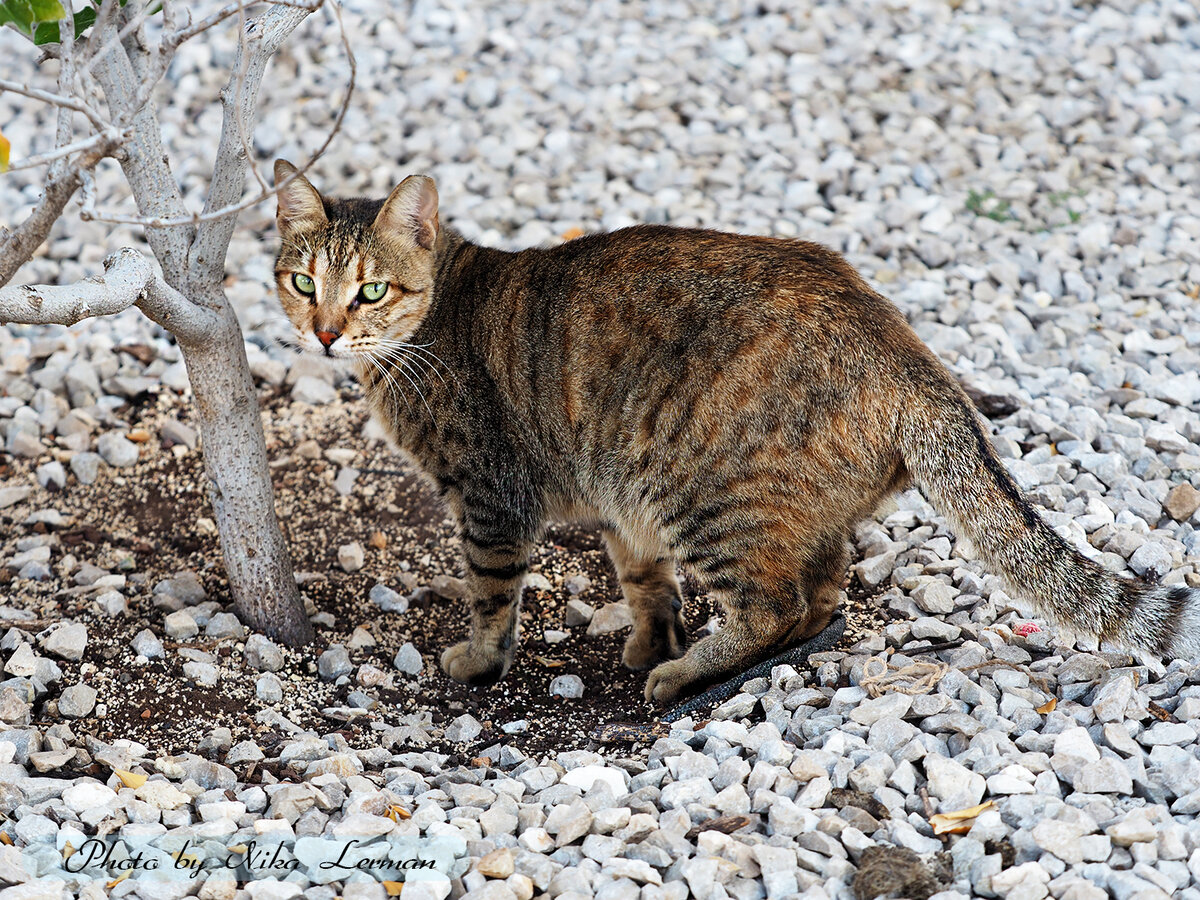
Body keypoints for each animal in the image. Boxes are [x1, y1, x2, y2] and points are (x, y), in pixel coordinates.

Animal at [274, 160, 1200, 705]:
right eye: (301, 280)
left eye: (370, 290)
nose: (323, 332)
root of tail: (910, 355)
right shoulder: (617, 497)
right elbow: (642, 577)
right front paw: (649, 637)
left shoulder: (493, 500)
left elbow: (492, 598)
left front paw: (481, 659)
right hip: (750, 499)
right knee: (821, 591)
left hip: (702, 493)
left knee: (774, 600)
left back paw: (691, 673)